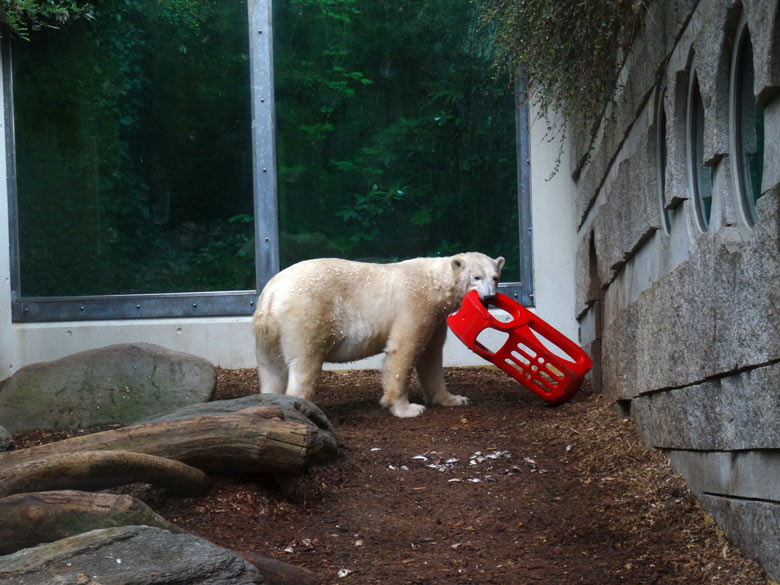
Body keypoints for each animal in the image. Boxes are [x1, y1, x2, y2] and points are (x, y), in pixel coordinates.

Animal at [250, 251, 506, 416]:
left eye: (495, 277)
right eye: (476, 277)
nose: (489, 297)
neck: (434, 284)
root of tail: (272, 294)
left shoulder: (435, 318)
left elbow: (431, 356)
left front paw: (454, 399)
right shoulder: (414, 305)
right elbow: (404, 350)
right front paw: (407, 408)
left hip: (267, 332)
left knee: (271, 368)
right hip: (306, 313)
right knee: (305, 361)